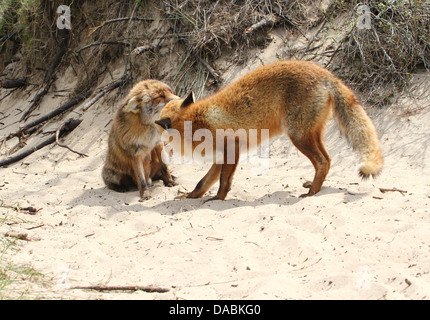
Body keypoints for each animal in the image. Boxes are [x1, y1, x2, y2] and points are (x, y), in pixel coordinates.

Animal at [156, 60, 384, 200]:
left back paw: (311, 193)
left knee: (322, 161)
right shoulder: (221, 157)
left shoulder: (232, 150)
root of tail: (327, 74)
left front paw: (217, 200)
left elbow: (222, 182)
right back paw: (314, 187)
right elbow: (202, 182)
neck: (195, 120)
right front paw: (192, 197)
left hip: (298, 136)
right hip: (311, 134)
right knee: (327, 161)